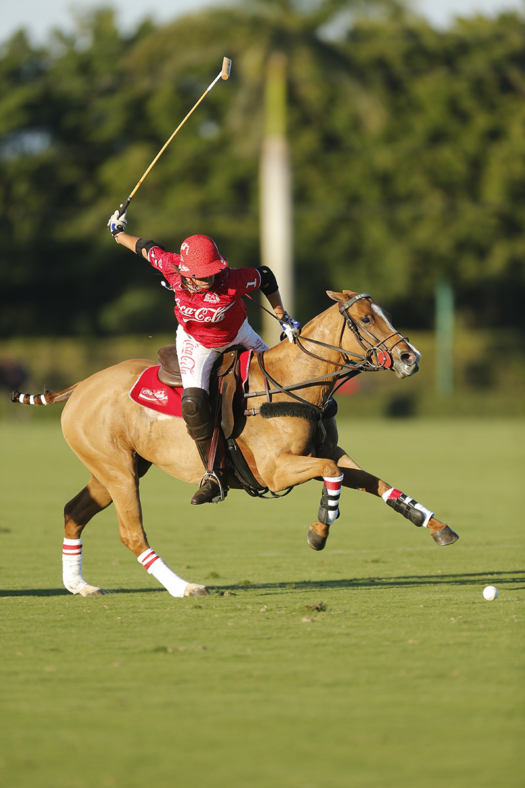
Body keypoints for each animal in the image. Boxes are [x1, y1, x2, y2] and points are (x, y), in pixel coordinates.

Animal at [10, 290, 456, 596]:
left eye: (385, 315)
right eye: (365, 318)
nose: (411, 358)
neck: (295, 383)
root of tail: (81, 385)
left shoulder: (324, 451)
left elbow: (370, 479)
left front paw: (432, 523)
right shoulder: (278, 470)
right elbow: (335, 476)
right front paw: (320, 528)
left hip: (115, 469)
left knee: (73, 511)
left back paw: (80, 586)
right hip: (118, 471)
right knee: (131, 533)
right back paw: (184, 587)